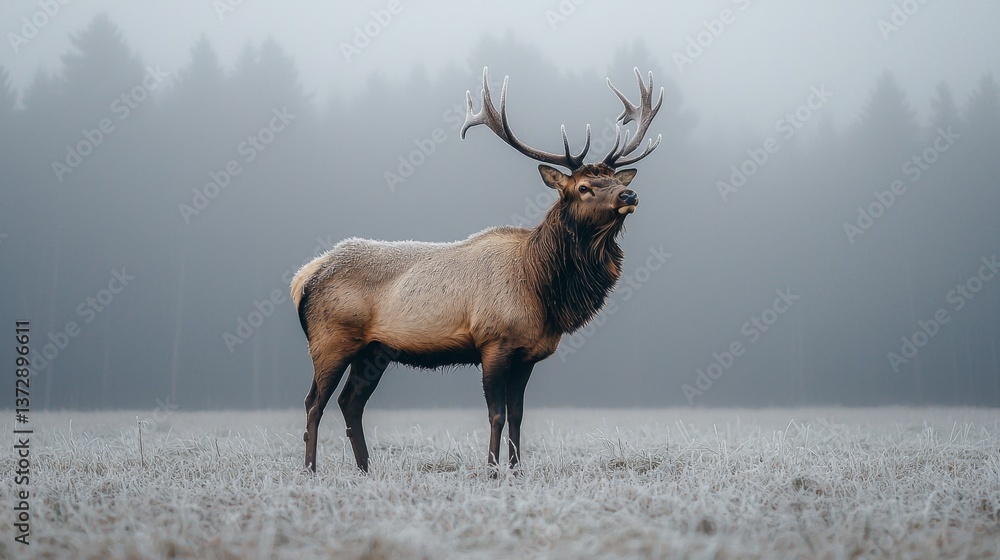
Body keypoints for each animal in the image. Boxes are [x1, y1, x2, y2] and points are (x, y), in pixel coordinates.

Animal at [292, 67, 663, 473]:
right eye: (583, 187)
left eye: (613, 179)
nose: (629, 195)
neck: (541, 288)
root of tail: (305, 276)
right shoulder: (493, 341)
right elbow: (496, 414)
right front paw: (492, 470)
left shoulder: (528, 353)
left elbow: (517, 415)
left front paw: (516, 469)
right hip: (330, 339)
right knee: (314, 402)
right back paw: (311, 470)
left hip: (374, 351)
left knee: (350, 403)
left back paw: (364, 469)